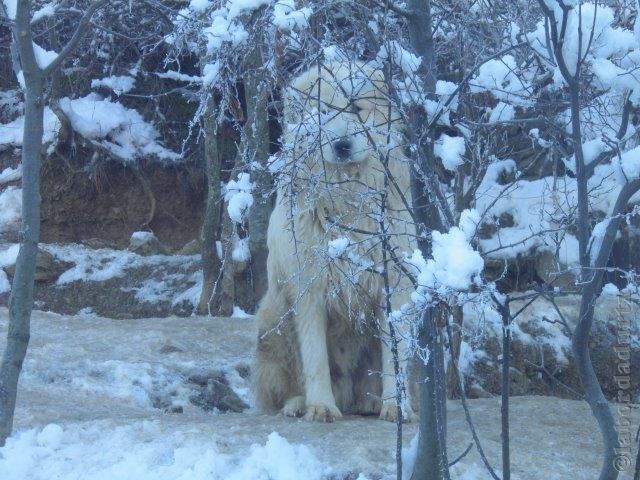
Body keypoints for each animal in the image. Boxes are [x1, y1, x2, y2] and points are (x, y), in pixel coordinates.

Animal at [252, 62, 418, 422]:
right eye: (324, 111)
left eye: (356, 108)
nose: (341, 145)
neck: (347, 201)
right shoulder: (309, 290)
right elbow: (315, 357)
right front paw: (320, 407)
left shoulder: (391, 286)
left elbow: (394, 357)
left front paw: (395, 406)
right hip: (273, 318)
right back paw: (298, 404)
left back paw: (370, 402)